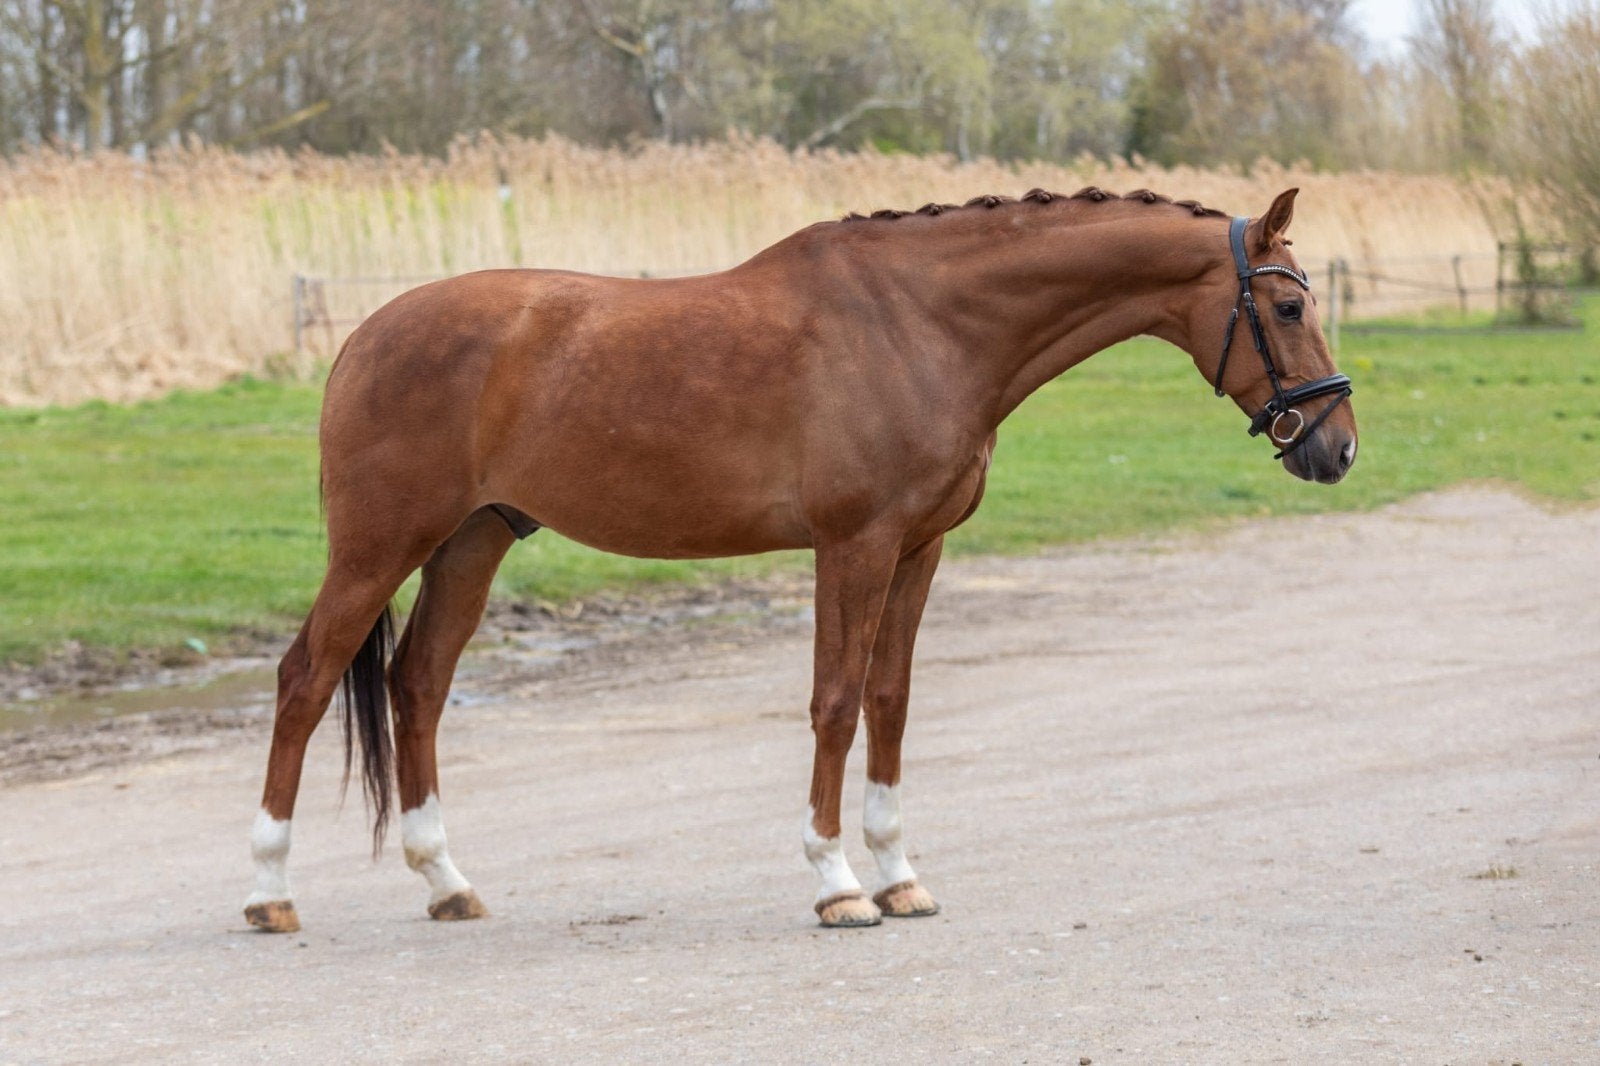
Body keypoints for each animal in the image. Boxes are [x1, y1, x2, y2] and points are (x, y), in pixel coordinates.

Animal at [243, 186, 1357, 933]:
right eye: (1288, 308)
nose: (1335, 447)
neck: (920, 326)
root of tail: (365, 335)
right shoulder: (851, 545)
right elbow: (835, 699)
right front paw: (836, 884)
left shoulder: (919, 548)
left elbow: (890, 701)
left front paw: (900, 875)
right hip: (380, 545)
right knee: (305, 679)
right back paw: (269, 891)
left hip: (472, 540)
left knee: (418, 684)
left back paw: (447, 883)